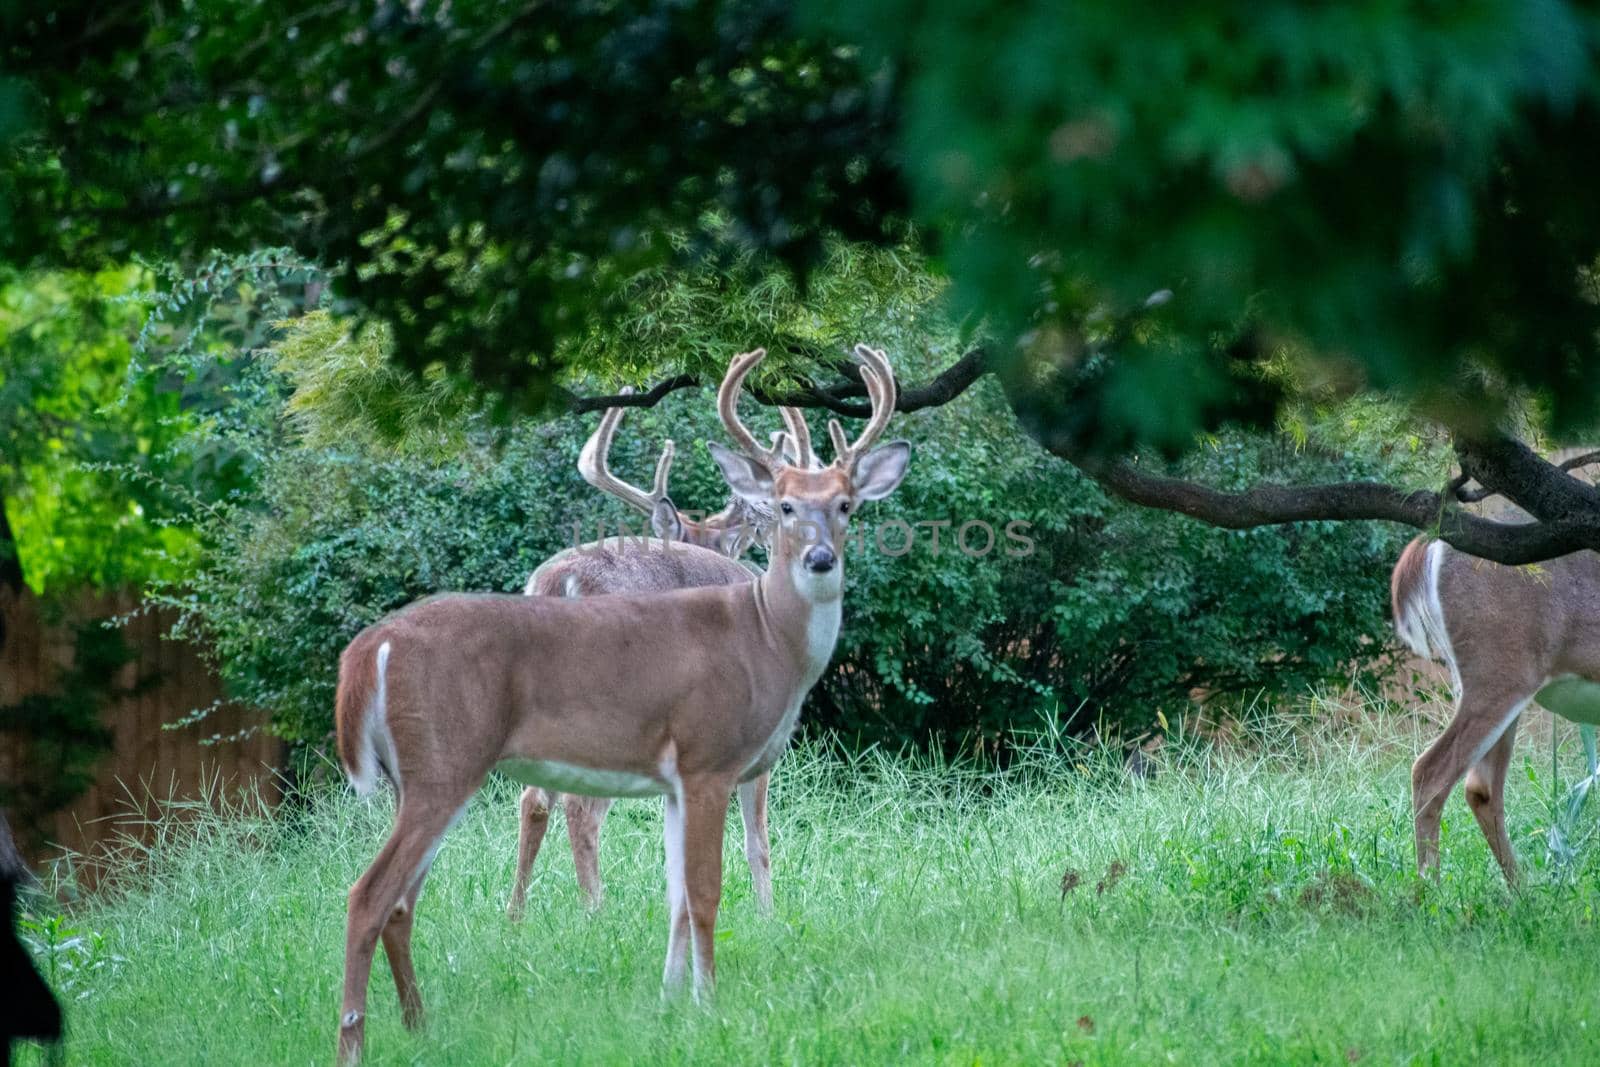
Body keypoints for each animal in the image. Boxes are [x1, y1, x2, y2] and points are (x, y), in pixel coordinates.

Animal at [505, 383, 819, 921]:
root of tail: (556, 582)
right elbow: (757, 837)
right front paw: (768, 915)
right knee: (579, 805)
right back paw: (596, 910)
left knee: (536, 797)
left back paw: (516, 913)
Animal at [1395, 537, 1600, 889]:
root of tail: (1433, 543)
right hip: (1499, 671)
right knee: (1430, 771)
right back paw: (1431, 891)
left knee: (1481, 786)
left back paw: (1523, 892)